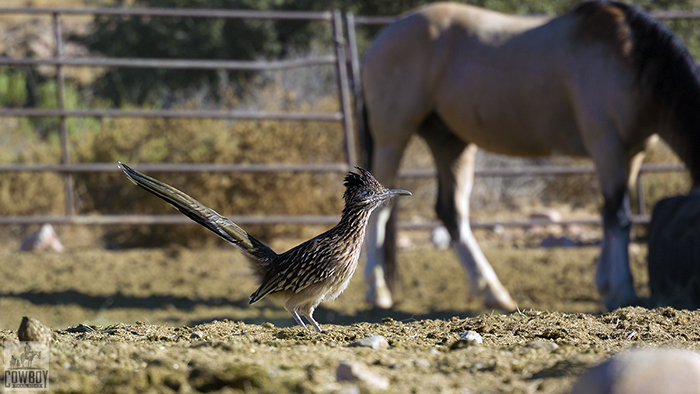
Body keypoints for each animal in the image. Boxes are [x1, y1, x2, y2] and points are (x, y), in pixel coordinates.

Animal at [358, 1, 700, 312]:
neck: (630, 57)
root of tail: (382, 38)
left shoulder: (633, 153)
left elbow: (607, 213)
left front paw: (605, 285)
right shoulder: (607, 145)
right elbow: (619, 216)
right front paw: (623, 290)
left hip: (449, 142)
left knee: (451, 212)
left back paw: (494, 293)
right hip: (392, 137)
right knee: (382, 209)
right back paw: (378, 292)